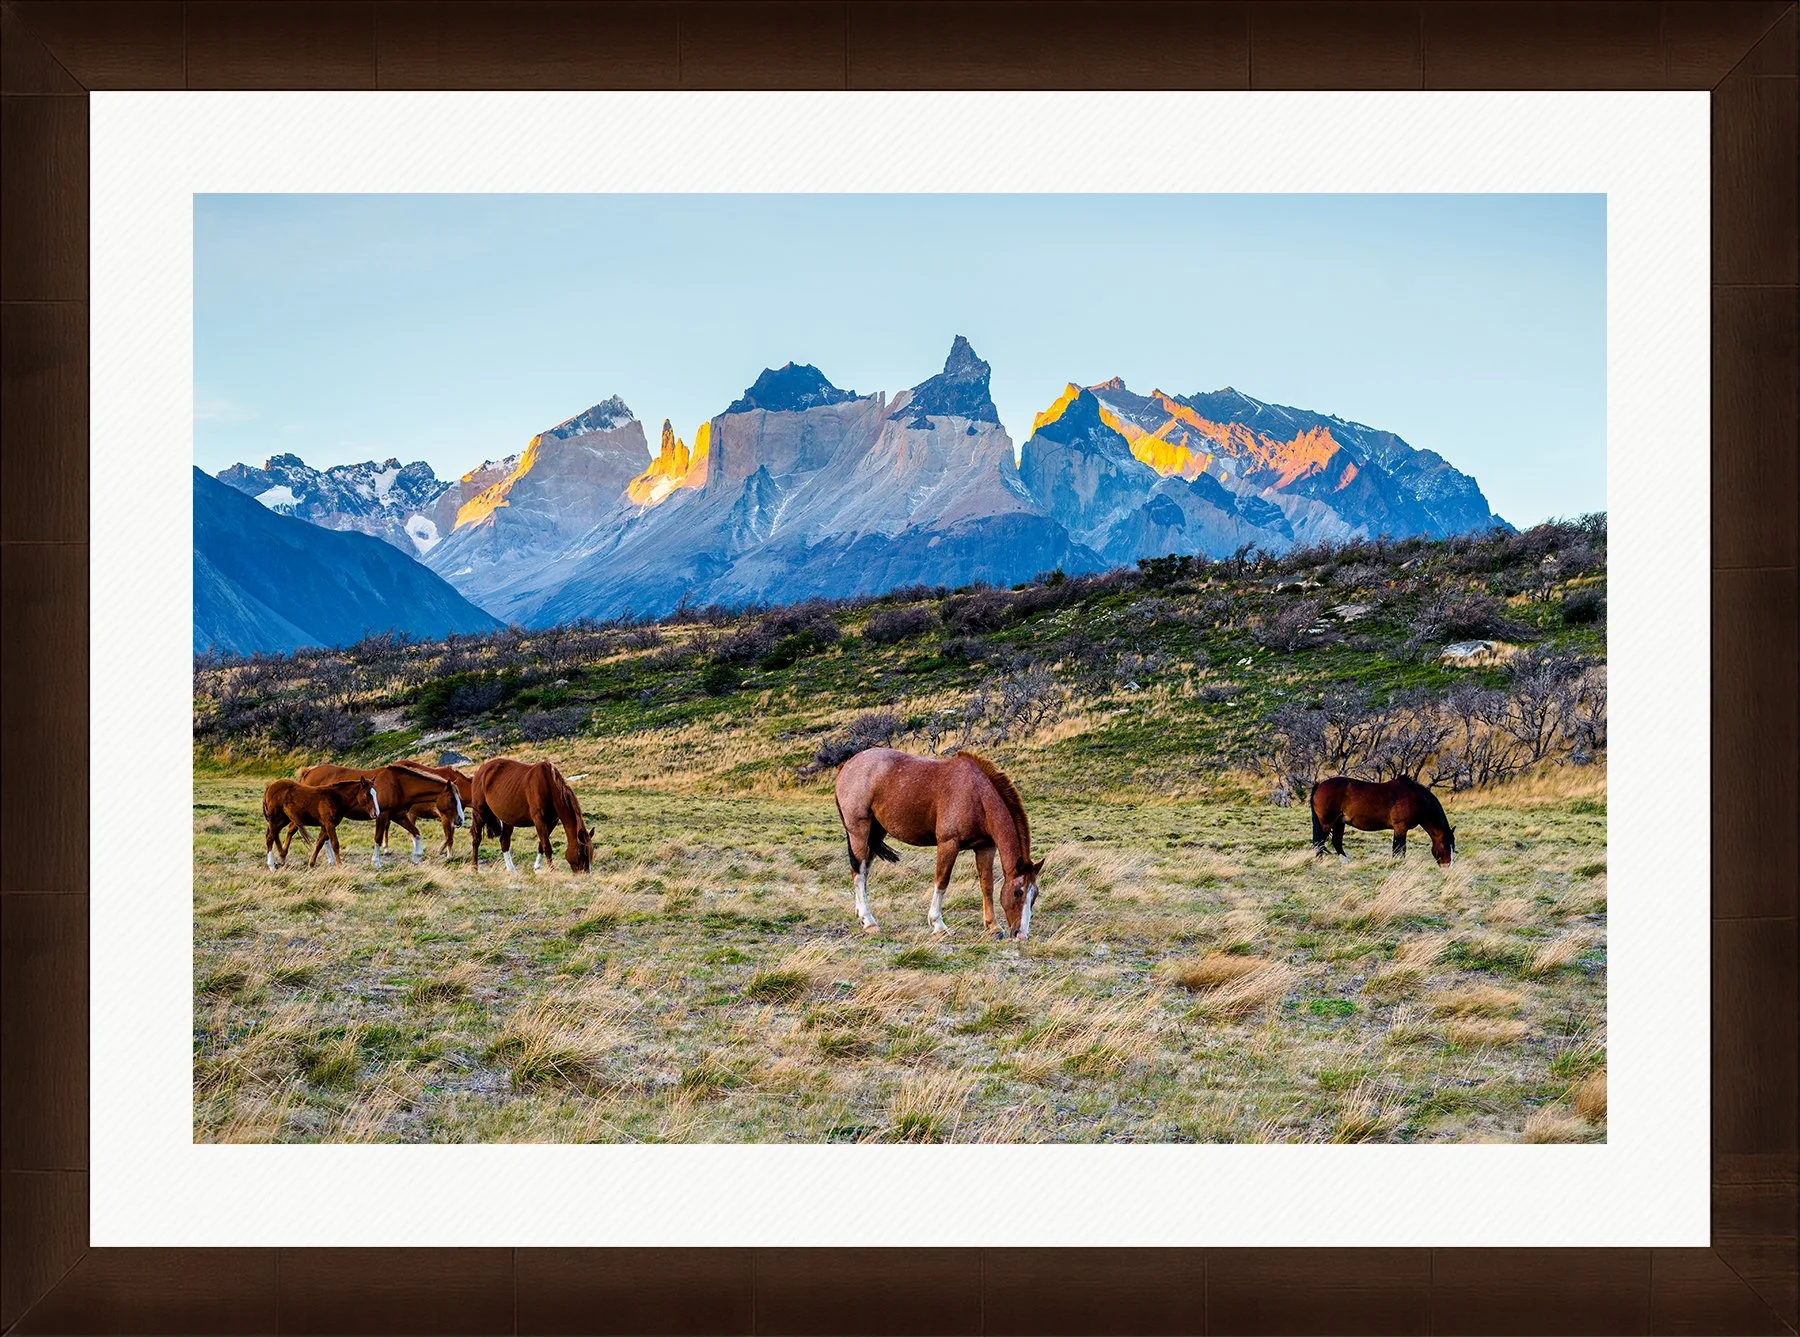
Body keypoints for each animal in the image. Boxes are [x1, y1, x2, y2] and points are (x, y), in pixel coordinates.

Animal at [298, 762, 460, 867]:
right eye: (452, 798)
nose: (460, 820)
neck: (398, 785)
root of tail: (309, 771)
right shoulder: (382, 816)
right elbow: (378, 838)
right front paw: (376, 861)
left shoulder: (399, 816)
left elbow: (416, 832)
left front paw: (417, 856)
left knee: (324, 838)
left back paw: (330, 860)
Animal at [833, 748, 1044, 939]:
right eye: (1017, 892)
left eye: (1034, 895)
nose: (1021, 935)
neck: (977, 795)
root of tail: (848, 766)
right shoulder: (948, 844)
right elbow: (942, 881)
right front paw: (938, 925)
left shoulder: (985, 847)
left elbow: (987, 885)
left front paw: (993, 926)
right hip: (859, 832)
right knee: (859, 873)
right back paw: (869, 922)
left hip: (875, 832)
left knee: (864, 871)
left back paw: (862, 915)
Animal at [1310, 775, 1456, 865]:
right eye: (1445, 846)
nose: (1448, 866)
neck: (1416, 799)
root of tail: (1319, 785)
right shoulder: (1400, 828)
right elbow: (1399, 849)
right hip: (1327, 823)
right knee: (1320, 842)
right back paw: (1321, 862)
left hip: (1339, 823)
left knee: (1335, 841)